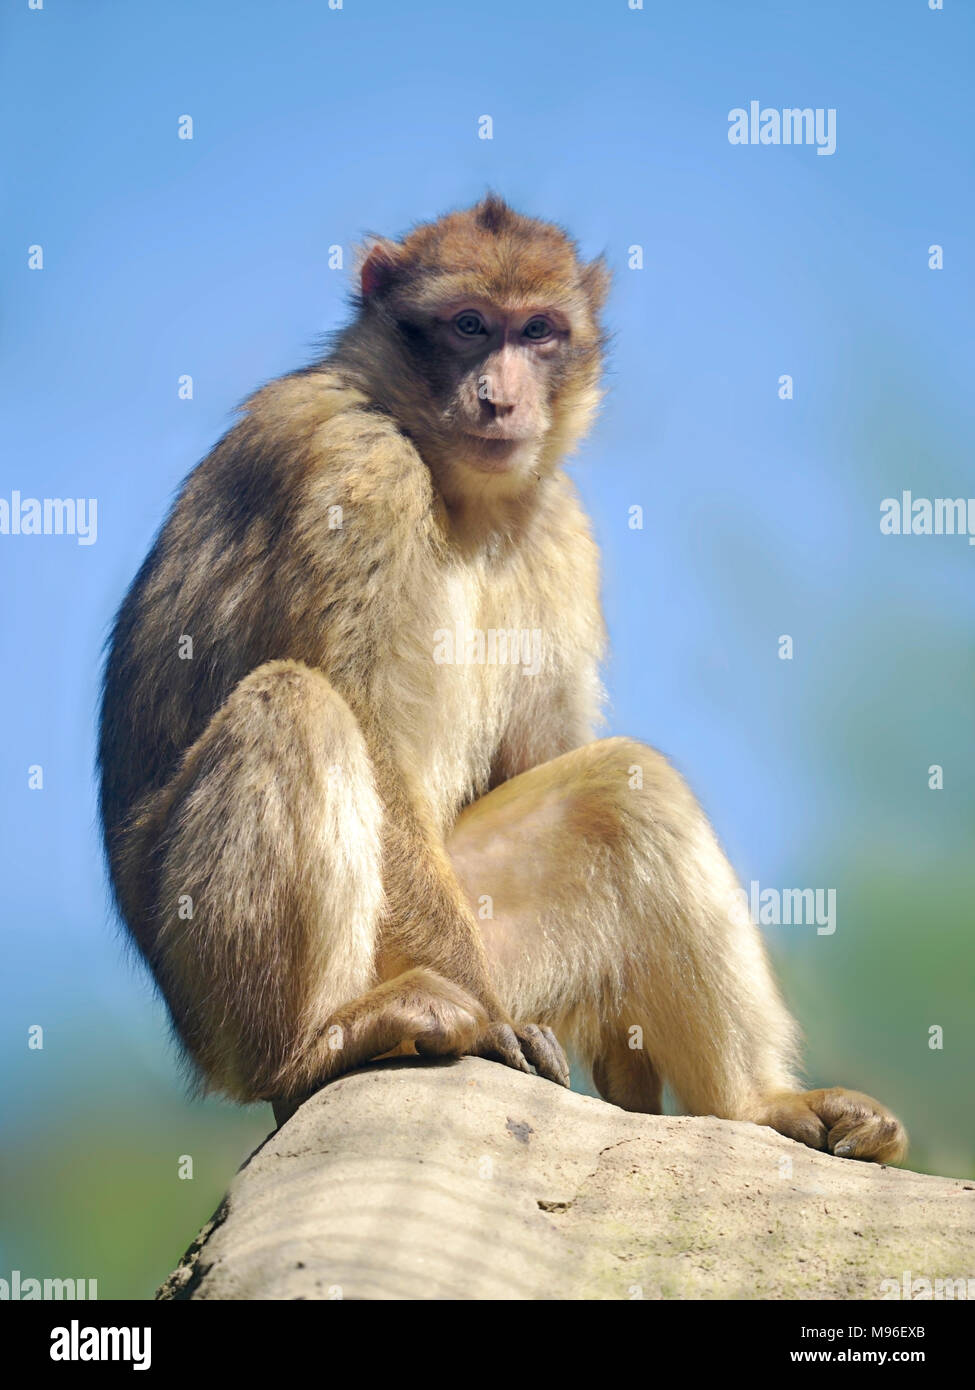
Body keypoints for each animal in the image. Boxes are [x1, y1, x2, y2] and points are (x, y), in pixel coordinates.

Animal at [98, 194, 906, 1164]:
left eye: (539, 331)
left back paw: (761, 1106)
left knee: (624, 785)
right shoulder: (353, 467)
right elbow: (367, 727)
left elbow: (537, 761)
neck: (449, 479)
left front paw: (635, 1060)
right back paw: (319, 1044)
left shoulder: (557, 521)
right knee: (294, 705)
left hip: (492, 930)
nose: (499, 395)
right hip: (257, 986)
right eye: (469, 326)